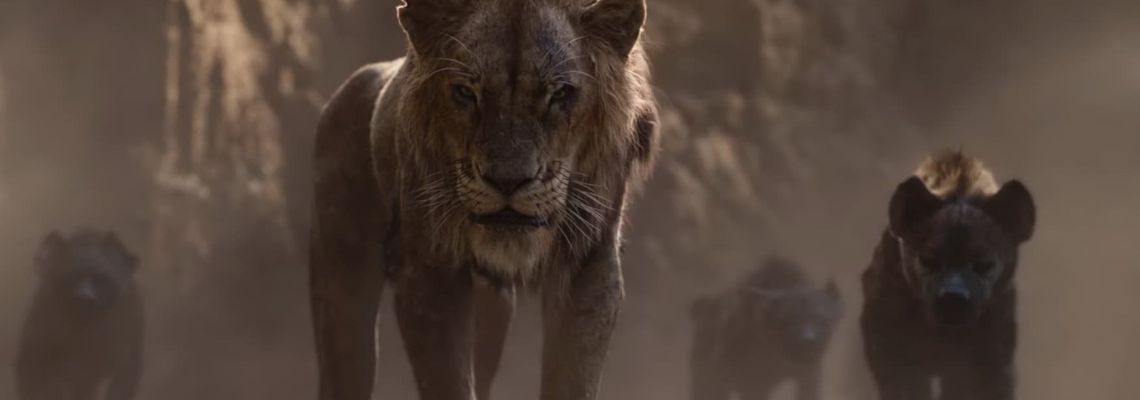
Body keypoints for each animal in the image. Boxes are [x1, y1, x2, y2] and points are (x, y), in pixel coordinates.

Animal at [307, 0, 659, 399]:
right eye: (465, 92)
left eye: (559, 94)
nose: (508, 181)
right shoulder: (427, 269)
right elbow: (446, 380)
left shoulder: (589, 263)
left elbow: (573, 376)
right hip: (342, 283)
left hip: (493, 309)